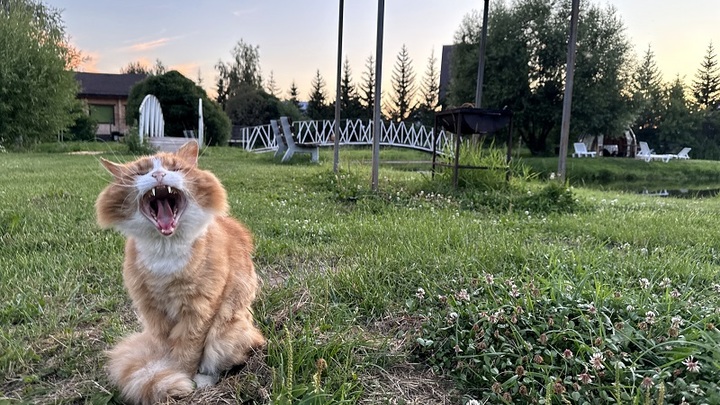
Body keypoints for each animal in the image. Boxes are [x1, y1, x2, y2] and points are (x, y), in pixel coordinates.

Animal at [94, 140, 264, 402]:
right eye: (141, 173)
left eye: (174, 168)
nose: (158, 175)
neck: (166, 250)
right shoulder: (154, 313)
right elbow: (168, 353)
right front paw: (168, 374)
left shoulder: (198, 310)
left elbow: (188, 353)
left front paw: (184, 380)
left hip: (228, 332)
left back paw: (204, 381)